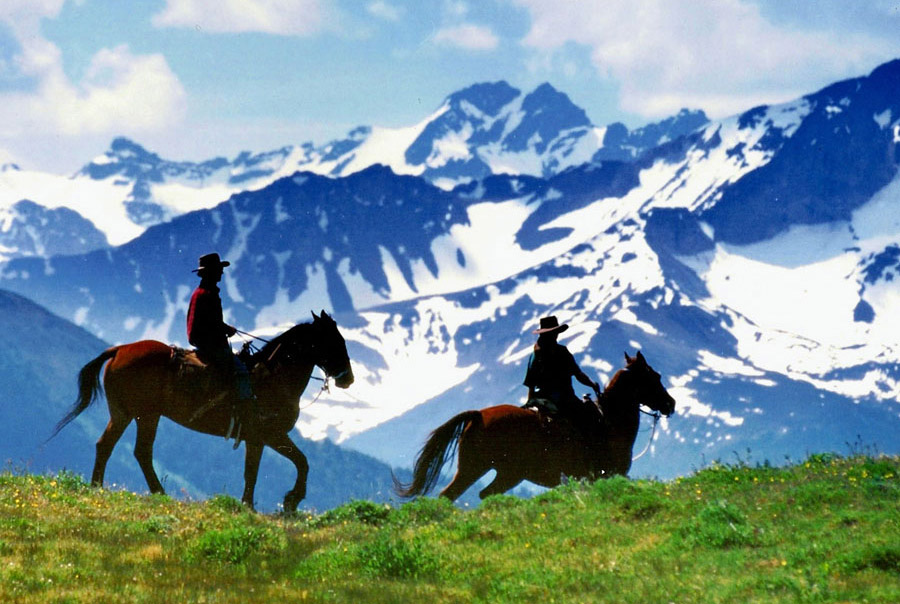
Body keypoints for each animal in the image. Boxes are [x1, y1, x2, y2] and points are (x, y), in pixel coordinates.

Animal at [52, 310, 356, 512]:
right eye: (334, 341)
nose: (348, 378)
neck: (274, 376)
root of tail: (119, 350)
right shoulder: (269, 435)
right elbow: (297, 463)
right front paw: (289, 500)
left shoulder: (259, 439)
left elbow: (259, 470)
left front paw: (254, 505)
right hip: (140, 414)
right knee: (127, 449)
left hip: (134, 414)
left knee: (119, 448)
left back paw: (118, 488)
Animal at [396, 352, 676, 502]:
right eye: (654, 376)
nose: (670, 404)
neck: (609, 423)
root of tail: (478, 415)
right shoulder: (602, 476)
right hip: (478, 469)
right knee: (453, 495)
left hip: (500, 472)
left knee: (479, 494)